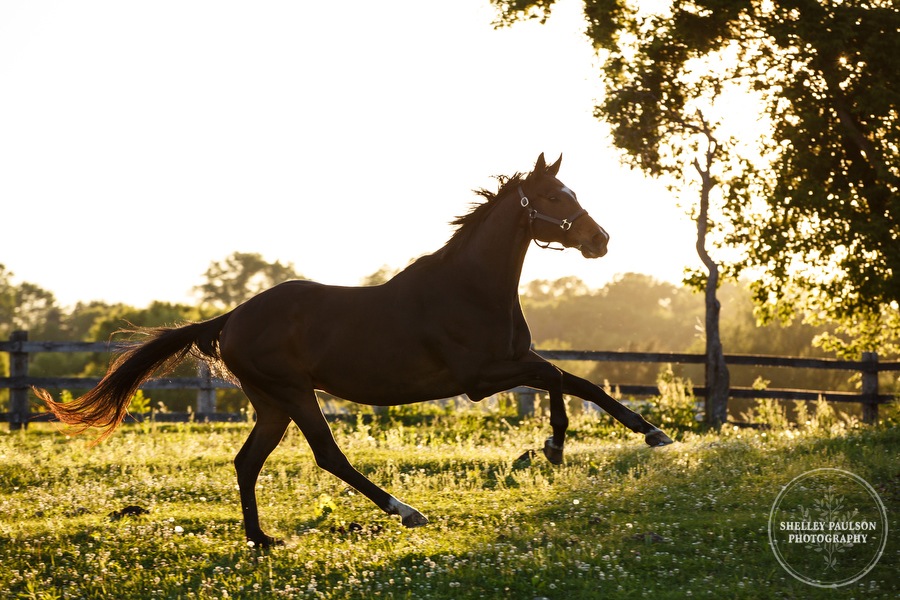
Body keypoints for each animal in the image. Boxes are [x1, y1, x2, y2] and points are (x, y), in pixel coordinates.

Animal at [38, 152, 672, 548]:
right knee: (328, 456)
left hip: (272, 404)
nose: (600, 240)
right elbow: (566, 381)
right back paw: (407, 511)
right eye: (554, 195)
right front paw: (567, 445)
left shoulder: (508, 367)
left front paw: (636, 435)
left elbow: (575, 383)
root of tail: (233, 317)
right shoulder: (481, 376)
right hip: (295, 394)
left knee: (247, 462)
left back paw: (262, 539)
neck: (470, 288)